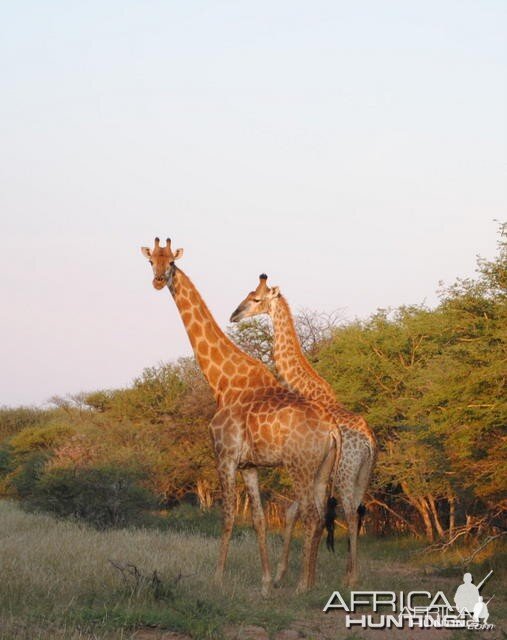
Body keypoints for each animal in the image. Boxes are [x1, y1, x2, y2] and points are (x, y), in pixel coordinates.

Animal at [141, 239, 344, 596]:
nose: (158, 280)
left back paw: (301, 586)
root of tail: (332, 430)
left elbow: (228, 517)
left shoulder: (225, 456)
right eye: (151, 260)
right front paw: (264, 583)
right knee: (319, 515)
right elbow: (259, 520)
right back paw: (310, 582)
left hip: (300, 467)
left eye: (171, 263)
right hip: (322, 469)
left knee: (310, 515)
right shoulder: (249, 465)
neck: (222, 382)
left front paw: (217, 578)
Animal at [230, 276, 378, 584]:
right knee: (358, 511)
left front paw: (282, 574)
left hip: (345, 474)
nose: (234, 315)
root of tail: (369, 442)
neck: (307, 386)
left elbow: (295, 513)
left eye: (257, 299)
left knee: (350, 513)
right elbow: (303, 513)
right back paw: (350, 574)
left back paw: (350, 579)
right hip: (363, 475)